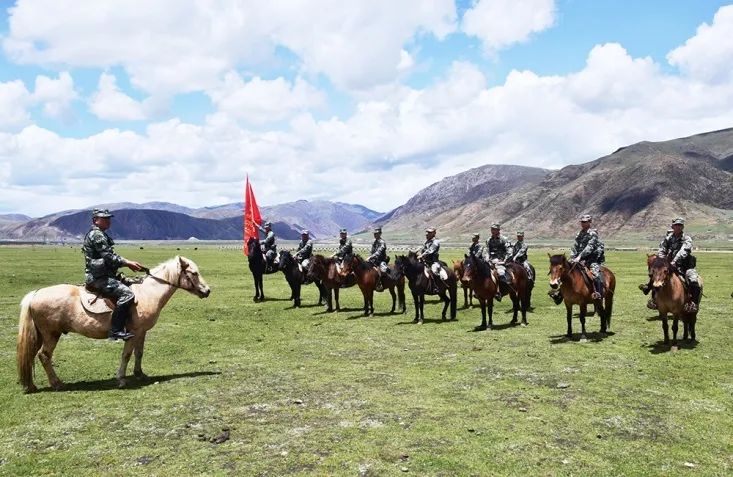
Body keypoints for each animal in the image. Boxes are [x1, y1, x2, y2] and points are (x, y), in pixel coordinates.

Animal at [17, 255, 210, 392]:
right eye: (194, 273)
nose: (207, 291)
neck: (147, 293)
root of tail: (36, 294)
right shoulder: (133, 331)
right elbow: (126, 355)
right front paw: (121, 380)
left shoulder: (142, 332)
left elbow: (139, 353)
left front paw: (140, 374)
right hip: (51, 334)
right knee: (44, 356)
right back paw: (57, 384)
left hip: (40, 335)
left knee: (31, 355)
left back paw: (31, 385)